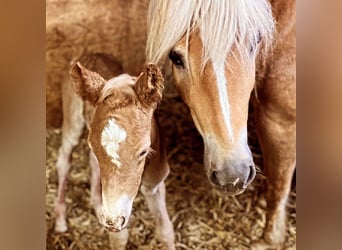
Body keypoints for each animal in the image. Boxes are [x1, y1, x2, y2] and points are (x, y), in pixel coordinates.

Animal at [55, 53, 176, 249]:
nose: (111, 219)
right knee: (64, 159)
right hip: (72, 118)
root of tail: (88, 54)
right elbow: (119, 238)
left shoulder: (155, 181)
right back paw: (60, 221)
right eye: (93, 146)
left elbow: (165, 231)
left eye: (143, 152)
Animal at [146, 0, 296, 249]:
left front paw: (269, 240)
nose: (232, 174)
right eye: (176, 57)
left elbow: (278, 184)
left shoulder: (280, 121)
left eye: (255, 42)